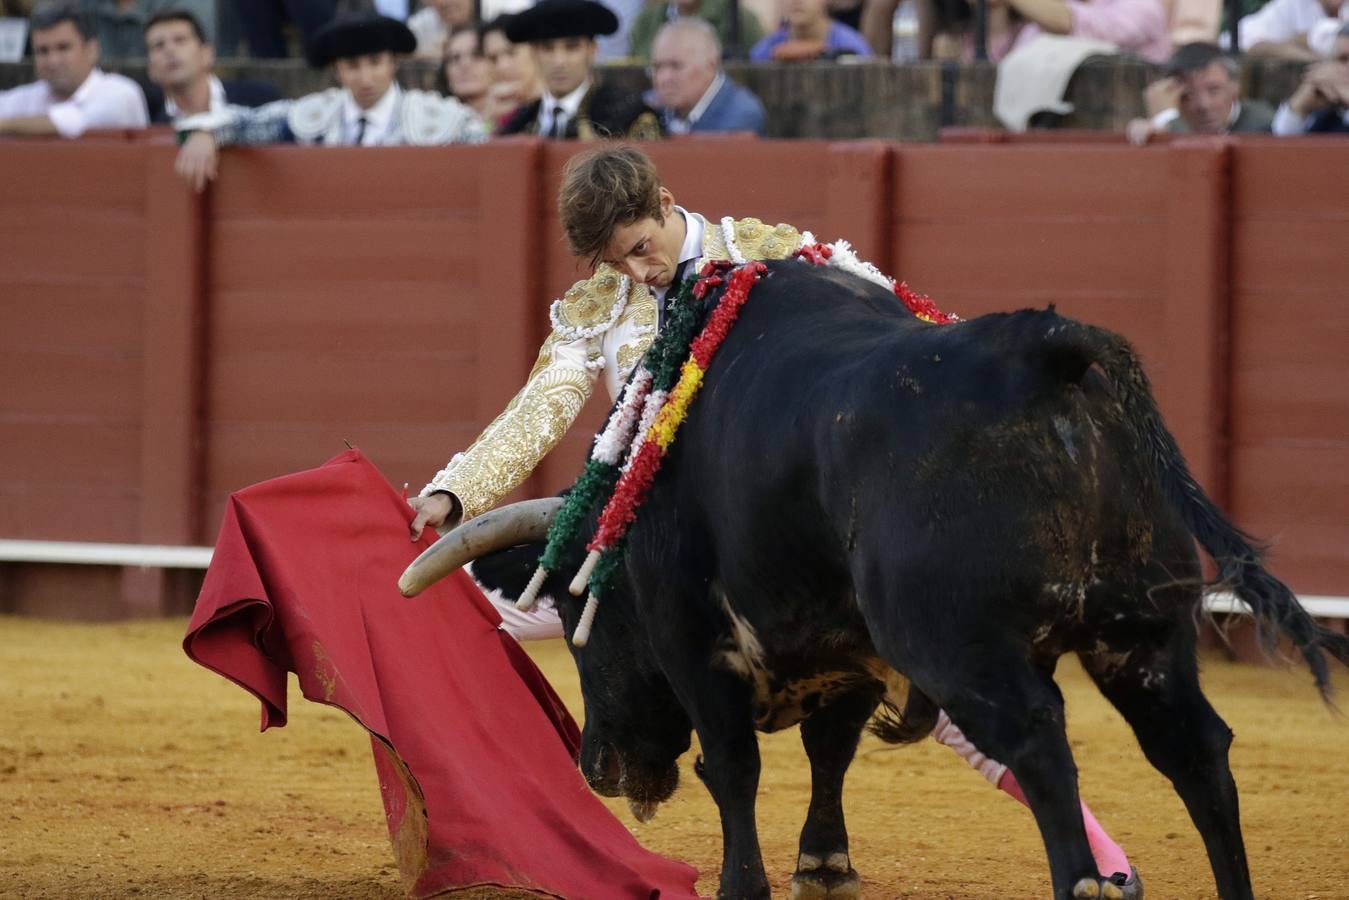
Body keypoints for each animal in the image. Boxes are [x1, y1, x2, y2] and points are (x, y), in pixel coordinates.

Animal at [404, 261, 1349, 900]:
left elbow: (734, 762)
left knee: (1038, 743)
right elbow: (831, 749)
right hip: (1143, 636)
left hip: (960, 647)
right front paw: (825, 862)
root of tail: (1045, 351)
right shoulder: (843, 644)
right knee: (1194, 750)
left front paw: (744, 881)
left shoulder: (696, 640)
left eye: (579, 620)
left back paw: (1085, 880)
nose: (595, 766)